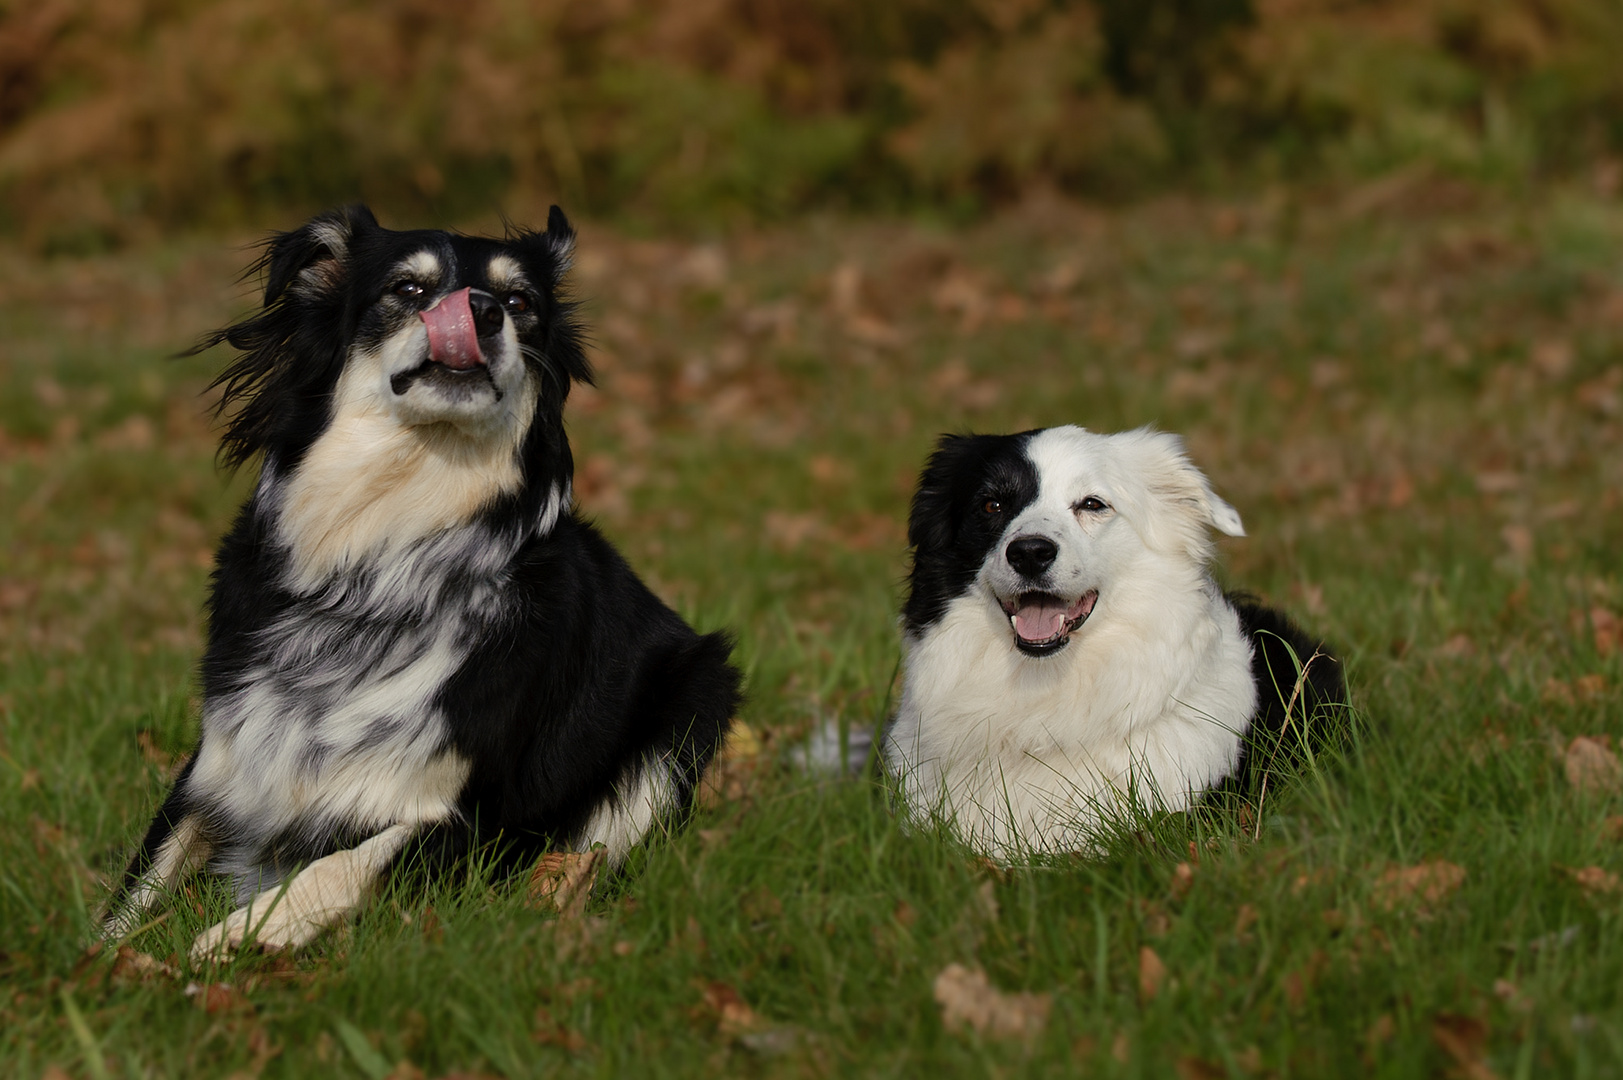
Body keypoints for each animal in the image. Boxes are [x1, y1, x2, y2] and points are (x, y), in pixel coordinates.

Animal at [101, 206, 736, 954]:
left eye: (521, 302)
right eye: (408, 289)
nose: (482, 312)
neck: (378, 560)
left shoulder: (473, 818)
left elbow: (341, 864)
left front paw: (228, 942)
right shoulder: (221, 763)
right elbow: (138, 886)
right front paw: (101, 961)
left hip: (697, 695)